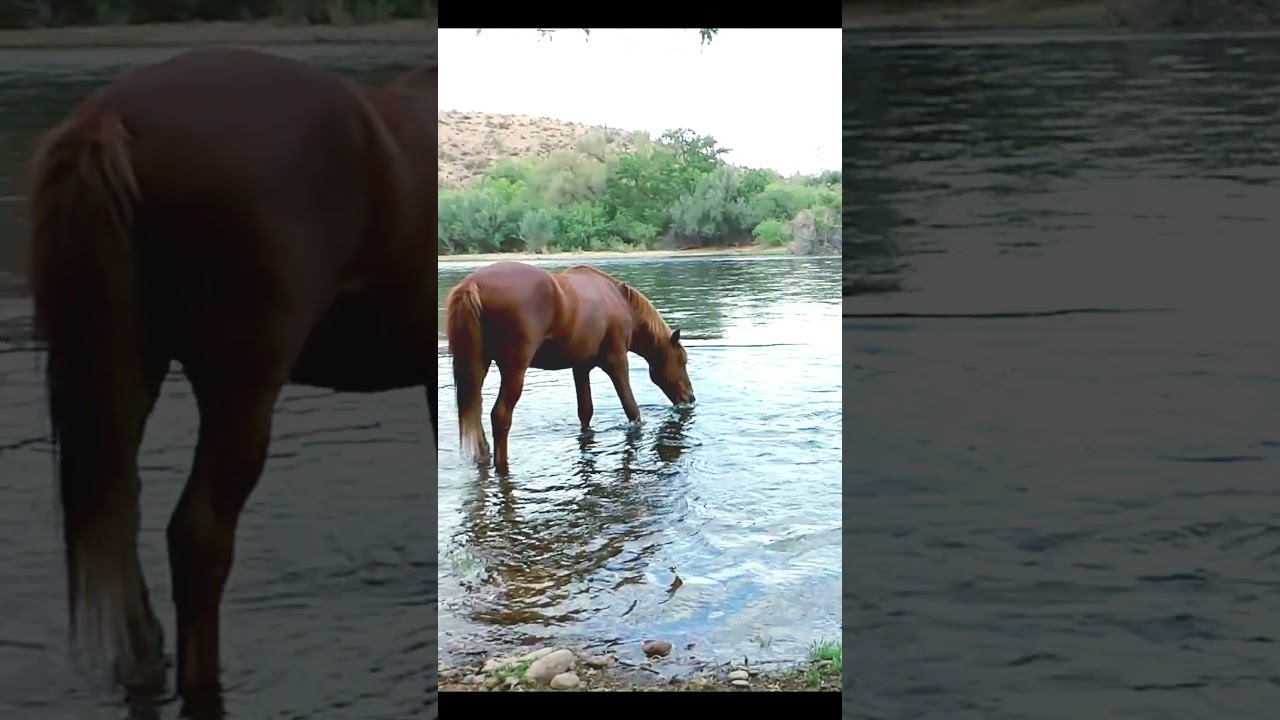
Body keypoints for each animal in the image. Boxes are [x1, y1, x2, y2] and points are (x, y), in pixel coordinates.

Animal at [443, 261, 695, 473]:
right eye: (683, 360)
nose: (690, 397)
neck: (619, 301)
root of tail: (472, 285)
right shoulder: (617, 362)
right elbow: (632, 409)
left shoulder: (580, 367)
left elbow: (585, 412)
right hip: (514, 369)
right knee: (500, 416)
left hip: (478, 366)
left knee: (476, 412)